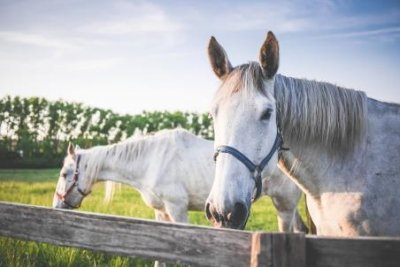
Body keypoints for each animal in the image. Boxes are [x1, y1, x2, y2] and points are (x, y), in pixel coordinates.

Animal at [52, 129, 306, 233]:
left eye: (64, 174)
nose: (56, 206)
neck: (150, 159)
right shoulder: (161, 213)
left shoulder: (177, 210)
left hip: (284, 206)